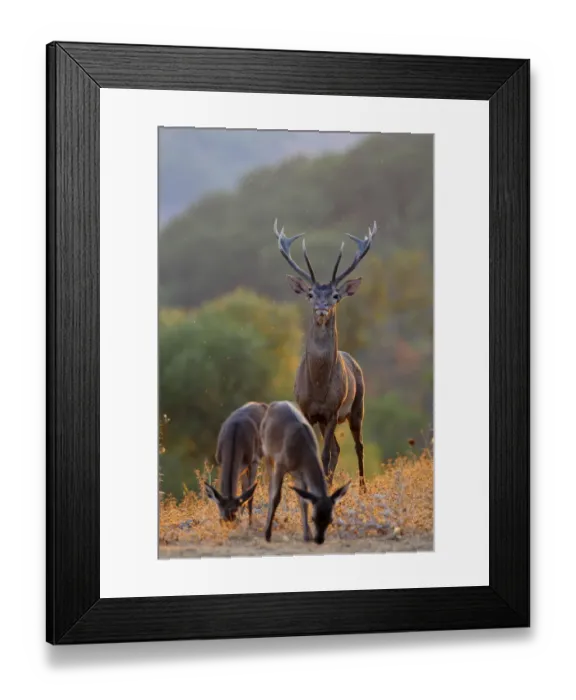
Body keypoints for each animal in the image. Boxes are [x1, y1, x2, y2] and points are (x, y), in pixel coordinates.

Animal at [260, 400, 351, 545]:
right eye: (313, 518)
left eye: (330, 519)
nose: (319, 539)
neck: (302, 454)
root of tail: (274, 404)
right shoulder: (281, 463)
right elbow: (276, 496)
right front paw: (268, 535)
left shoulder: (301, 475)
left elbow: (304, 501)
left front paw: (306, 536)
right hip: (267, 452)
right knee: (270, 487)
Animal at [274, 218, 376, 492]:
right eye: (310, 294)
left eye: (335, 295)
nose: (322, 308)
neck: (318, 387)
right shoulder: (307, 411)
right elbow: (315, 455)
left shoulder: (332, 410)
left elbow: (325, 455)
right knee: (338, 450)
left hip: (358, 405)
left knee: (357, 446)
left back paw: (362, 488)